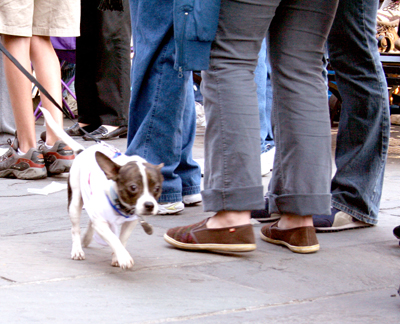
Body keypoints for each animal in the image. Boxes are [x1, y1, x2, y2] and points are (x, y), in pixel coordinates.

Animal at [41, 108, 164, 268]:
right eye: (133, 187)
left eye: (157, 188)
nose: (149, 205)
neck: (121, 206)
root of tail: (82, 151)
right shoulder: (100, 222)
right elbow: (113, 238)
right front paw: (123, 256)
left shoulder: (130, 222)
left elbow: (122, 238)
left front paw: (117, 256)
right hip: (75, 202)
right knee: (75, 228)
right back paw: (77, 249)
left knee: (90, 222)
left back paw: (87, 238)